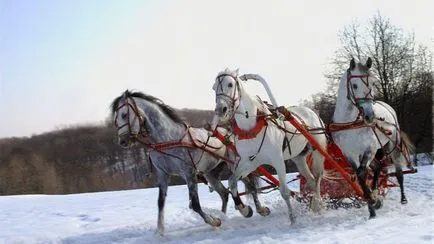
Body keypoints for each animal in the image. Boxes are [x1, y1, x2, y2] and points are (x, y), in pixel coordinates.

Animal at [209, 68, 326, 223]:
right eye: (214, 87)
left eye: (230, 84)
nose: (220, 109)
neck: (250, 128)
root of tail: (311, 111)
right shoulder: (249, 162)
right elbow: (232, 181)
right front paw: (245, 209)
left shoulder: (277, 160)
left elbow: (284, 191)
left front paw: (293, 219)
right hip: (299, 157)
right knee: (312, 180)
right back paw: (315, 206)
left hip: (318, 150)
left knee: (318, 176)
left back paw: (317, 202)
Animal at [332, 57, 414, 219]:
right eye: (355, 85)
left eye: (373, 84)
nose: (370, 116)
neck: (350, 123)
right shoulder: (349, 154)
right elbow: (359, 176)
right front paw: (372, 204)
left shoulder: (369, 149)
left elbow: (361, 173)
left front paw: (373, 202)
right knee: (377, 167)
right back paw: (375, 191)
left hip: (391, 146)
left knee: (398, 173)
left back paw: (403, 198)